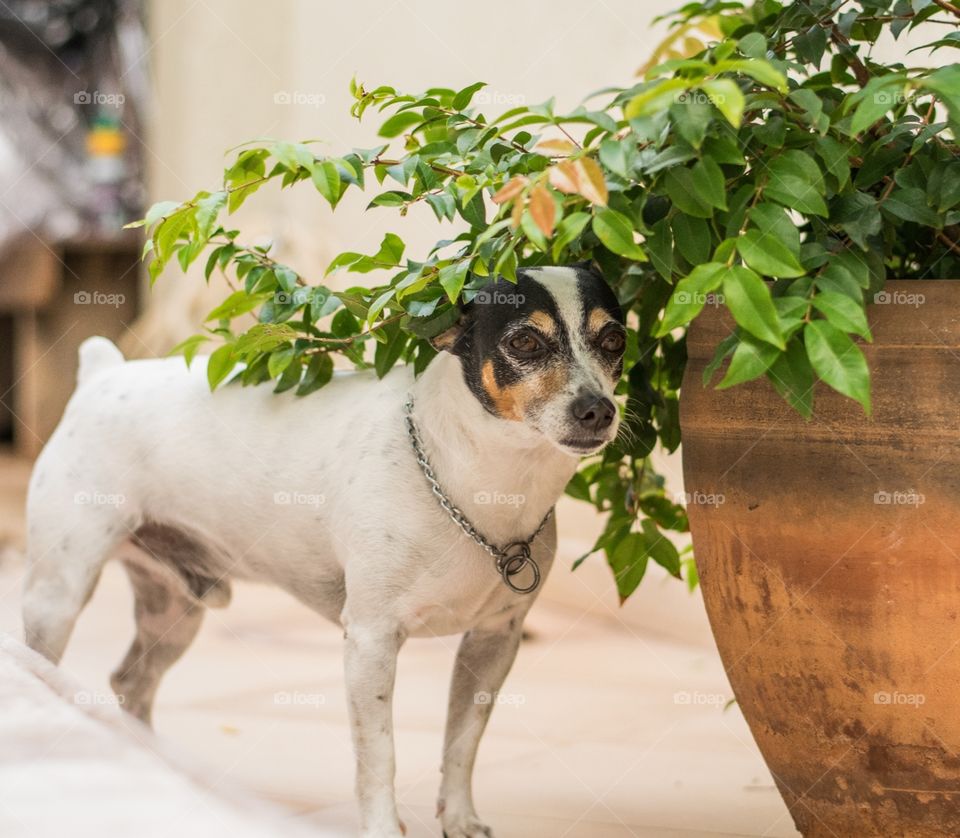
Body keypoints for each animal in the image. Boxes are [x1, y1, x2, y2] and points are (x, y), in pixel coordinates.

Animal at [22, 264, 628, 838]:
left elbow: (462, 747)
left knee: (132, 683)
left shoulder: (493, 642)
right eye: (524, 342)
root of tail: (103, 373)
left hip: (174, 611)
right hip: (58, 596)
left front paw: (459, 820)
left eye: (615, 340)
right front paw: (383, 829)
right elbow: (378, 755)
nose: (598, 410)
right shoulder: (370, 641)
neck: (482, 481)